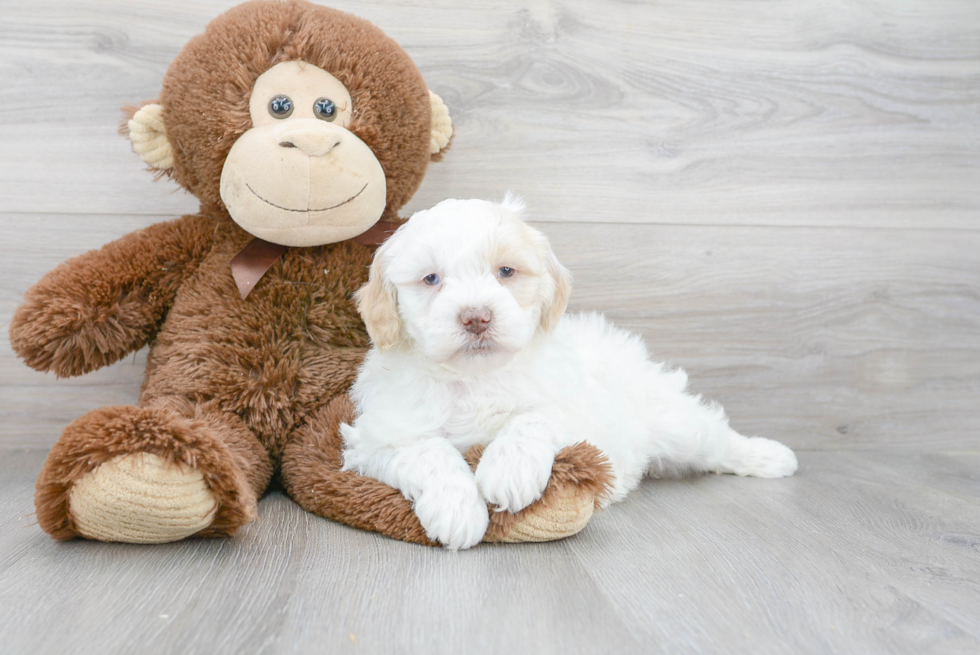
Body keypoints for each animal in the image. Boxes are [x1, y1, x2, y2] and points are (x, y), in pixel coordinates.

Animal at [340, 199, 800, 548]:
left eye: (505, 272)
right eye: (431, 279)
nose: (476, 317)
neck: (477, 378)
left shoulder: (575, 410)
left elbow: (533, 417)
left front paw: (508, 469)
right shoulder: (379, 438)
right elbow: (427, 451)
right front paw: (456, 508)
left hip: (676, 423)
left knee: (715, 436)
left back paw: (770, 455)